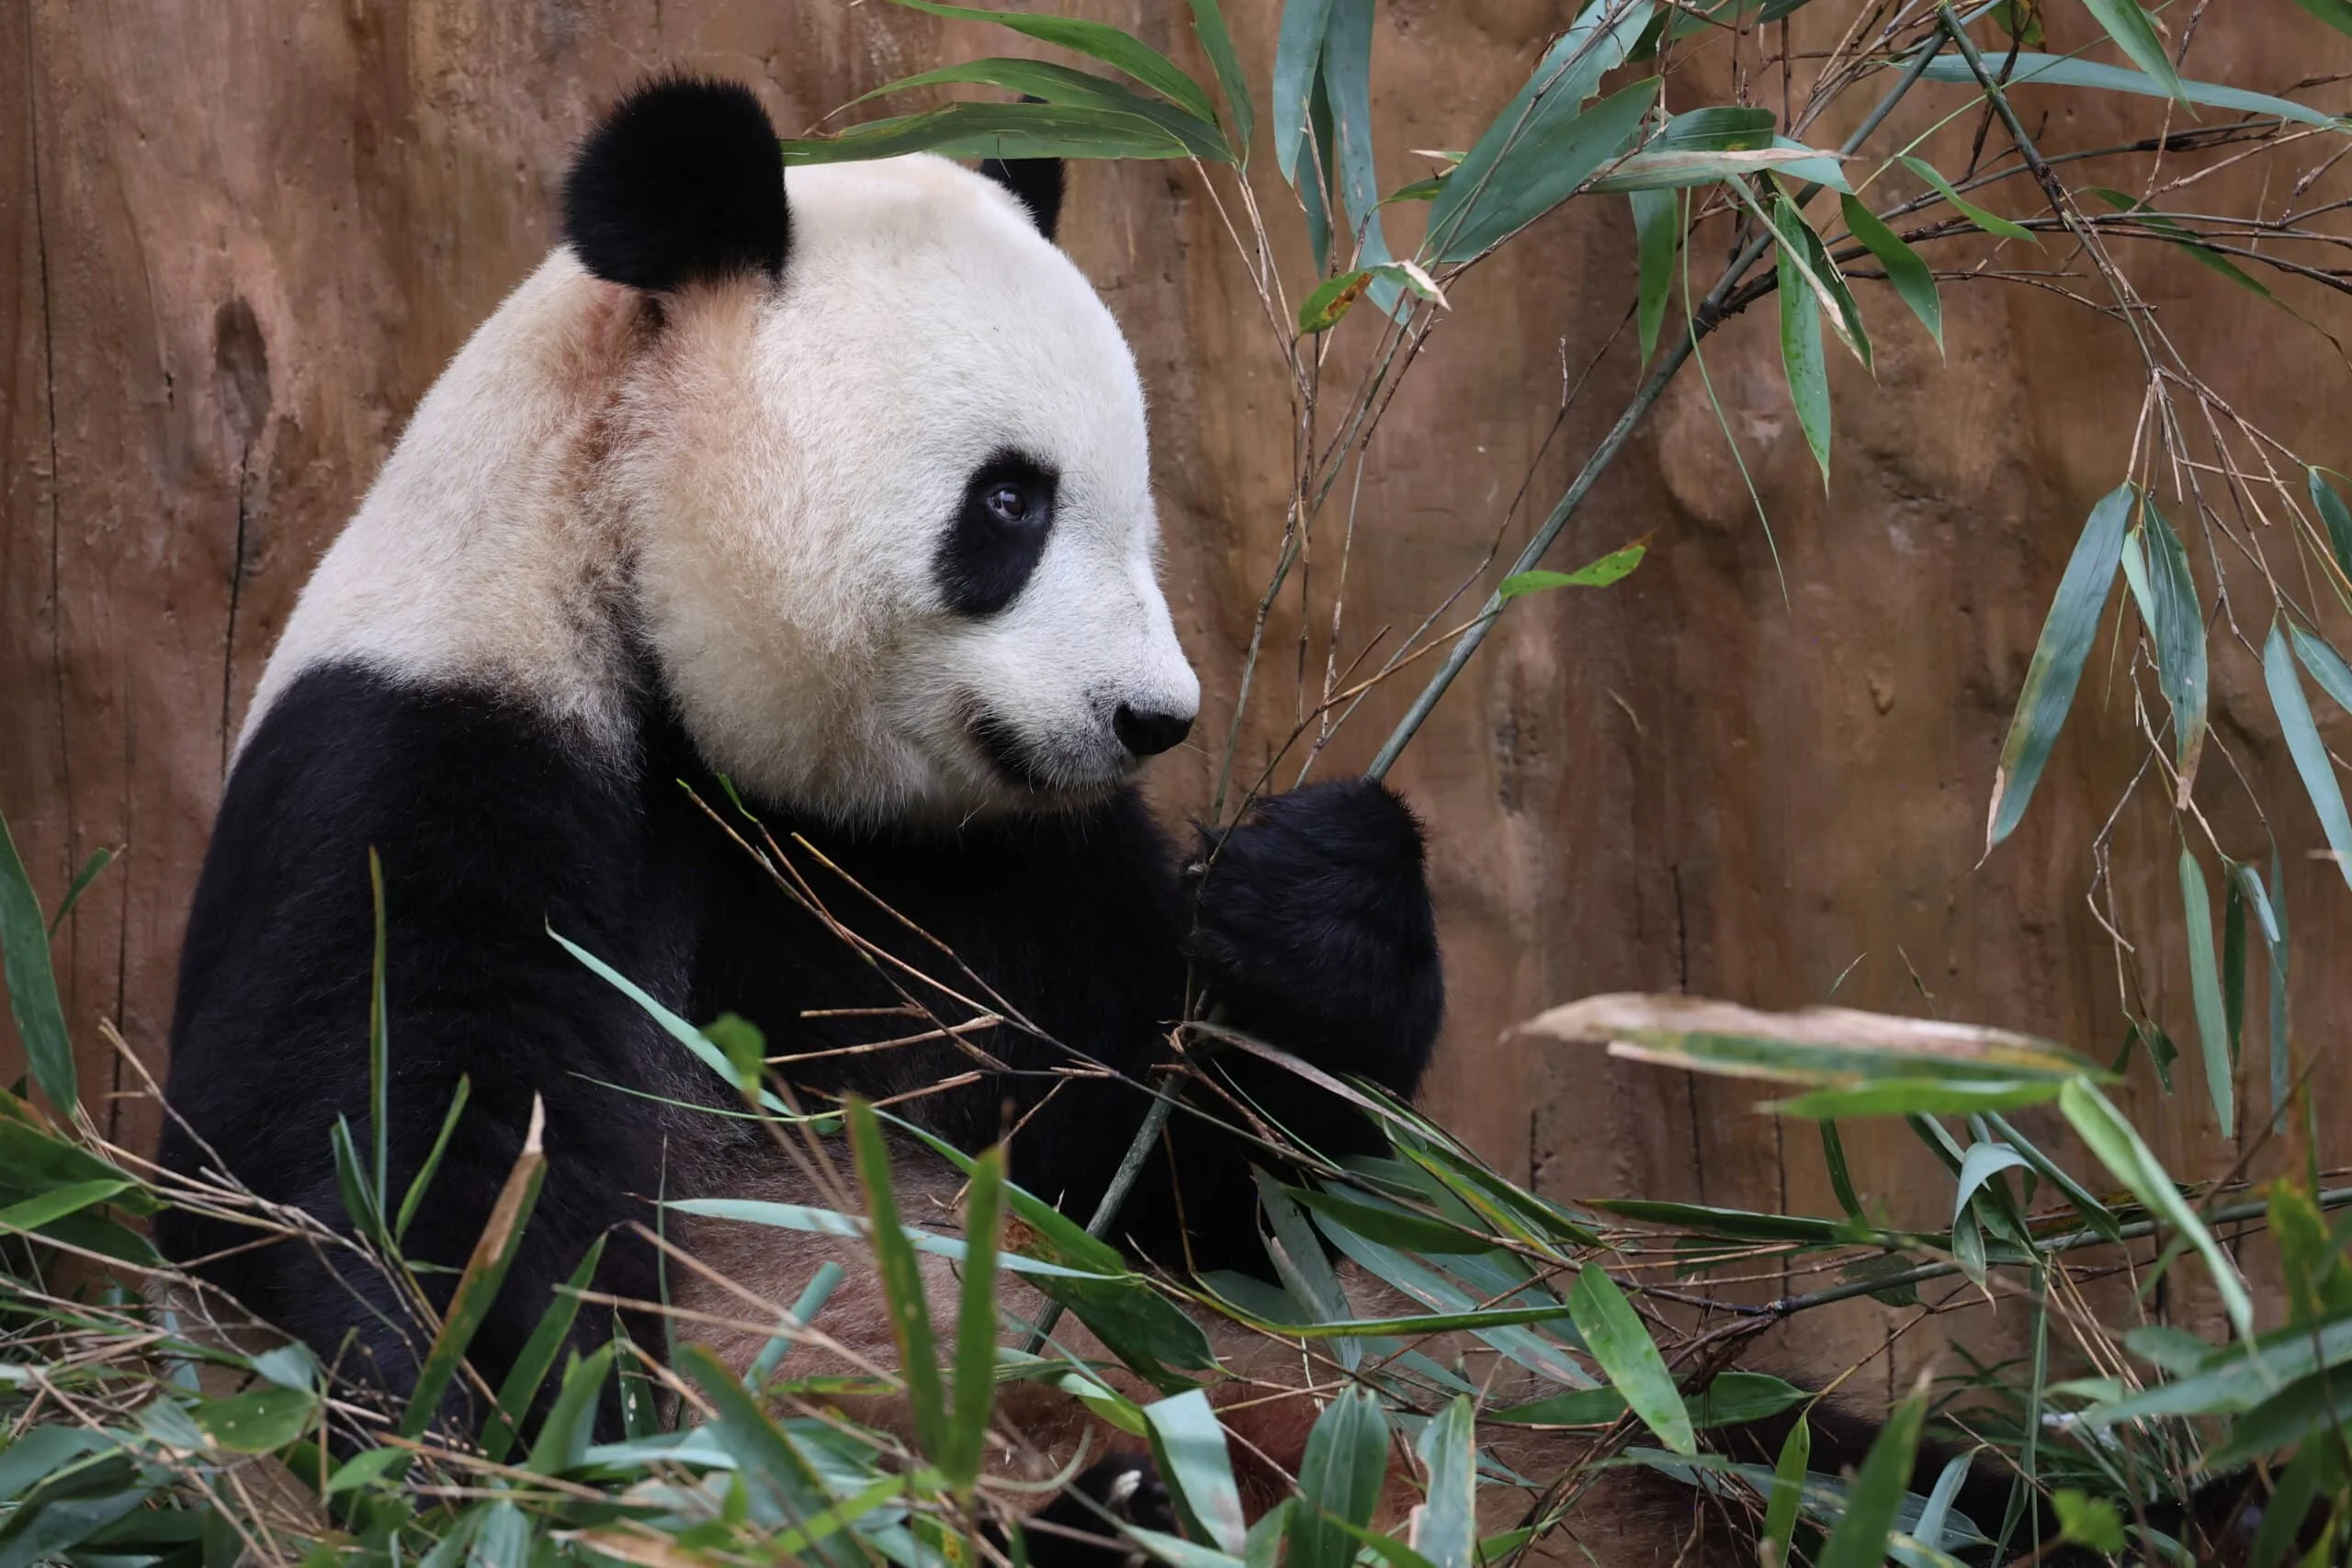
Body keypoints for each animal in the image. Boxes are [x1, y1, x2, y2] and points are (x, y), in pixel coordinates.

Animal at [155, 69, 1440, 1503]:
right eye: (1011, 501)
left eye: (1138, 504)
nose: (1150, 718)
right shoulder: (425, 741)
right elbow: (380, 1127)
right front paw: (518, 1403)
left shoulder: (995, 867)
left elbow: (1195, 1196)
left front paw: (1306, 900)